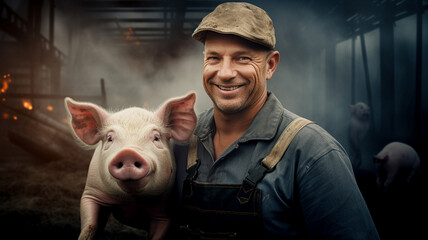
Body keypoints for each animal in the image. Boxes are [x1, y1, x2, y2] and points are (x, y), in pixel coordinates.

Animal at [64, 93, 198, 240]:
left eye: (156, 138)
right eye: (110, 138)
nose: (128, 153)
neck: (132, 200)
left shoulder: (165, 211)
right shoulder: (91, 192)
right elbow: (90, 225)